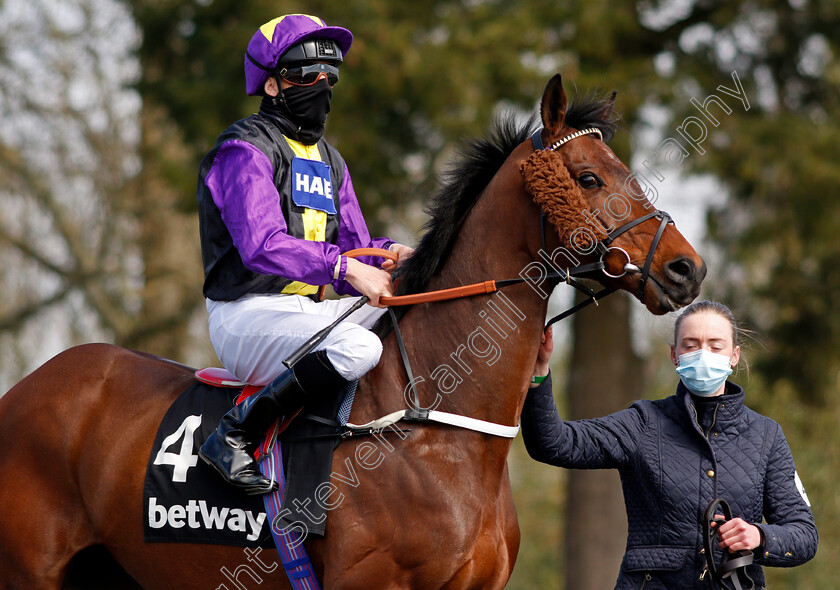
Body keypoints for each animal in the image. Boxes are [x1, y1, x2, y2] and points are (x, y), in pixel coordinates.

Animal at [0, 75, 704, 590]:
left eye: (627, 171)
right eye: (588, 177)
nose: (686, 268)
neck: (438, 430)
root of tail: (30, 386)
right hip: (30, 571)